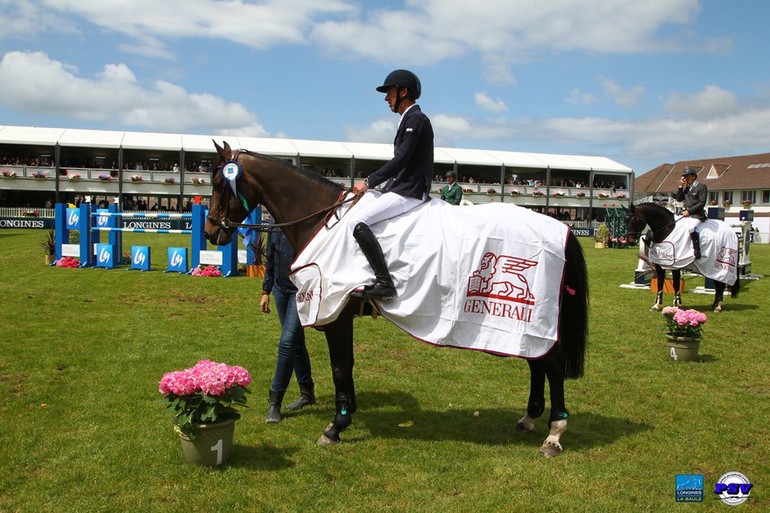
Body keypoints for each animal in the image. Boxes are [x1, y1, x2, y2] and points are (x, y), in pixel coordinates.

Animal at [204, 140, 588, 456]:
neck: (323, 219)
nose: (210, 232)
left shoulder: (336, 312)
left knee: (552, 364)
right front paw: (343, 419)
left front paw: (335, 427)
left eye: (220, 183)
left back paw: (554, 434)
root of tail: (561, 228)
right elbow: (346, 366)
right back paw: (528, 418)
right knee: (537, 361)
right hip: (520, 325)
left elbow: (341, 367)